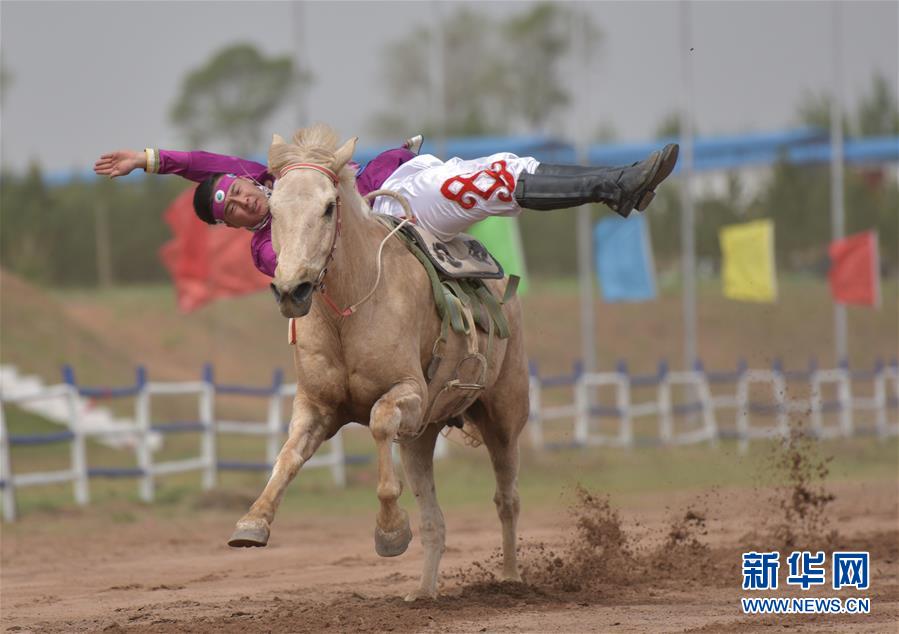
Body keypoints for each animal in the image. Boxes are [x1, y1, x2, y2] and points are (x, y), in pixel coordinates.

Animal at [229, 122, 532, 596]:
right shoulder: (317, 407)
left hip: (504, 413)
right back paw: (423, 592)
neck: (349, 310)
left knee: (507, 498)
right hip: (422, 435)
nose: (293, 289)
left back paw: (511, 578)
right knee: (435, 521)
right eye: (273, 210)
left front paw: (390, 530)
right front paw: (253, 521)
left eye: (329, 207)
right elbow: (288, 456)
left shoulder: (408, 392)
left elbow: (378, 423)